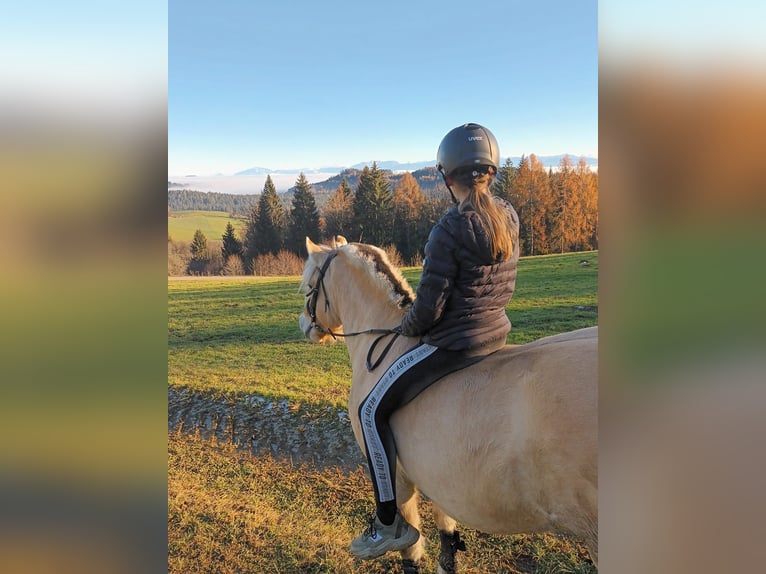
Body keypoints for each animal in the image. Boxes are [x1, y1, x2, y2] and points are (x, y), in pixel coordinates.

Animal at [299, 236, 598, 573]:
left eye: (309, 285)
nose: (304, 325)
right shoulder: (440, 479)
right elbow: (447, 544)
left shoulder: (399, 479)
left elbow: (410, 551)